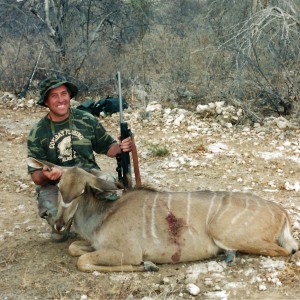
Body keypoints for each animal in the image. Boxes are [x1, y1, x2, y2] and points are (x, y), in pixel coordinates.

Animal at [27, 158, 298, 274]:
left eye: (80, 191)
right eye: (59, 187)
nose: (59, 224)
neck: (103, 215)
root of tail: (280, 212)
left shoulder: (126, 252)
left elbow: (83, 261)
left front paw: (148, 265)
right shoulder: (95, 245)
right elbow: (75, 249)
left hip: (230, 235)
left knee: (286, 250)